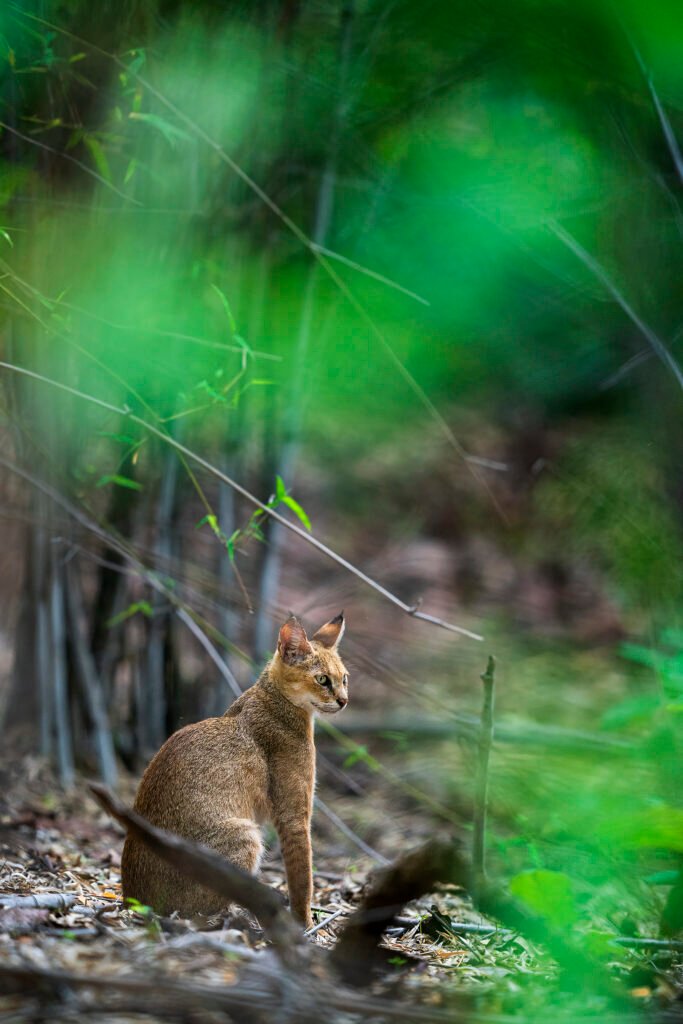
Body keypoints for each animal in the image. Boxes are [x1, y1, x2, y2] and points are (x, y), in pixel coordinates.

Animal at [120, 610, 350, 933]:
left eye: (344, 679)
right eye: (322, 679)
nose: (343, 700)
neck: (272, 698)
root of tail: (132, 899)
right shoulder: (294, 816)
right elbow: (302, 874)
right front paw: (304, 923)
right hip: (246, 835)